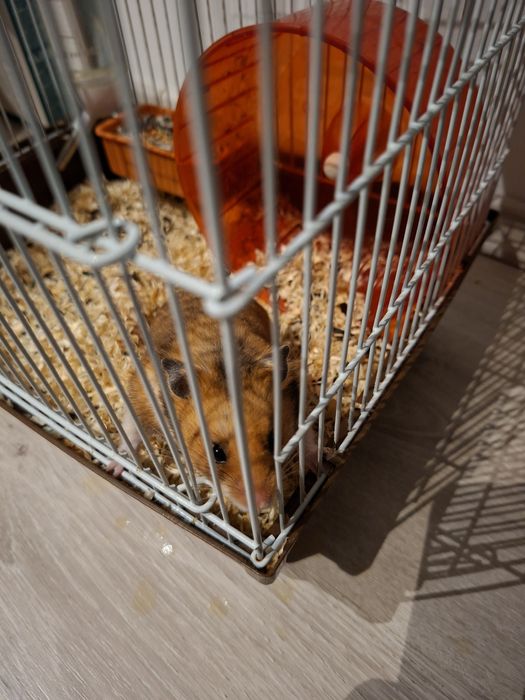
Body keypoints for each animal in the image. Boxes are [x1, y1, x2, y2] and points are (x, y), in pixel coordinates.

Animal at [108, 291, 316, 512]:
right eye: (216, 453)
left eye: (273, 439)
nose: (262, 505)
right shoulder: (143, 395)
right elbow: (132, 431)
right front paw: (115, 467)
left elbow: (306, 428)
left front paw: (315, 463)